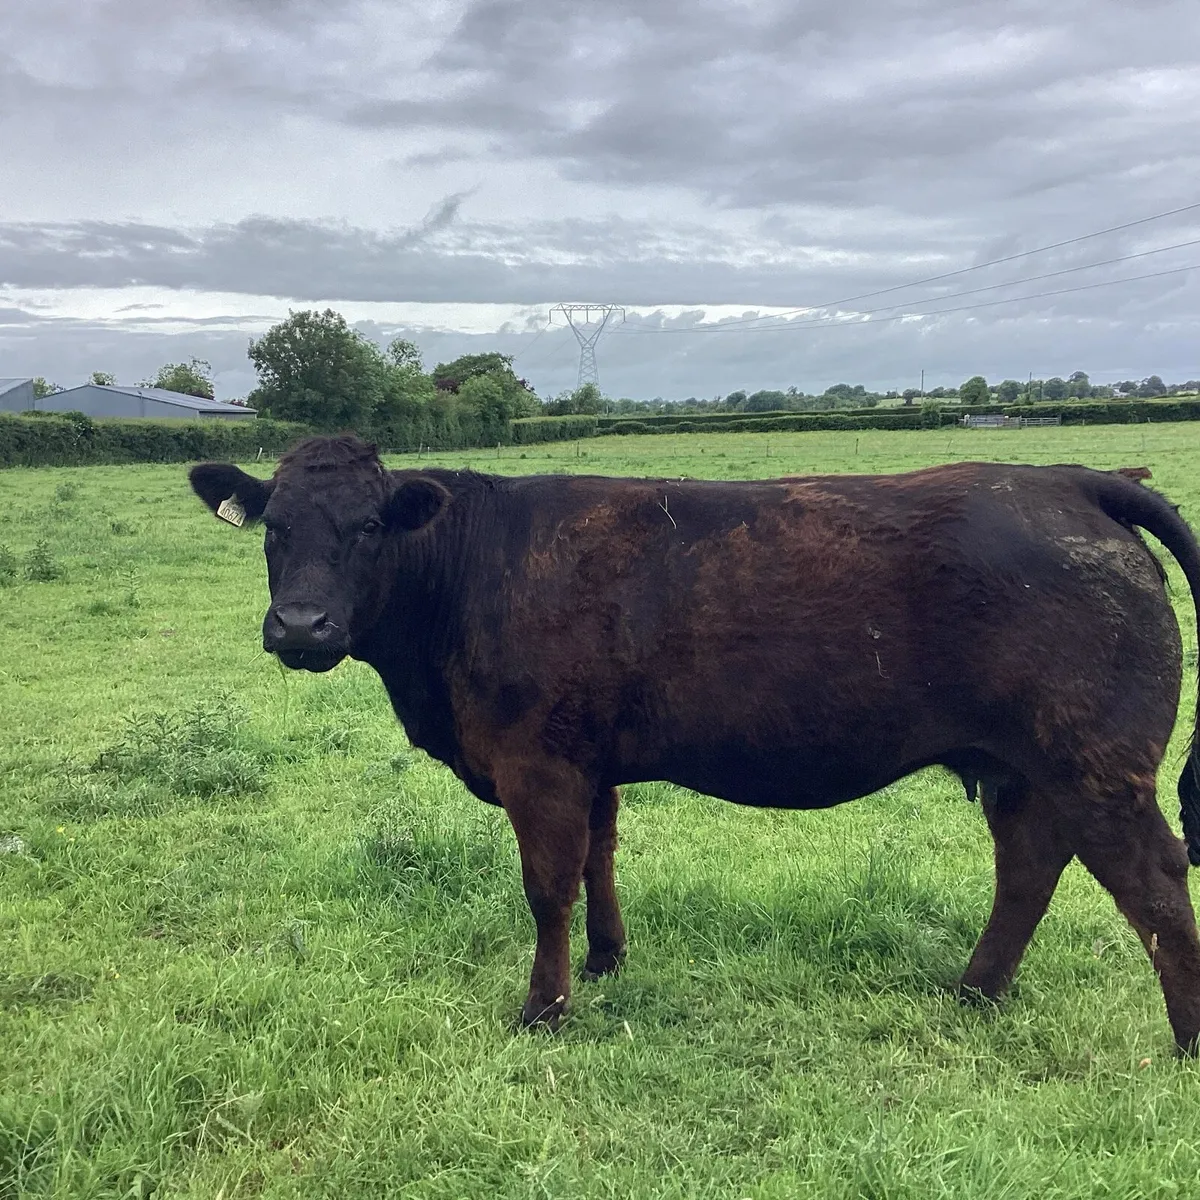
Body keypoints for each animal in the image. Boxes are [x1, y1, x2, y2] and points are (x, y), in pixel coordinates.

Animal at [189, 436, 1200, 1052]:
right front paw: (607, 962)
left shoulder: (537, 762)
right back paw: (975, 992)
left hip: (1096, 762)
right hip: (1023, 768)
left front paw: (545, 1007)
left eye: (368, 527)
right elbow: (598, 858)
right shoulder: (587, 762)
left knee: (1151, 881)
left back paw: (1182, 1042)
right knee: (1029, 867)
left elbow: (547, 885)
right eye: (274, 528)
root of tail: (1066, 477)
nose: (302, 626)